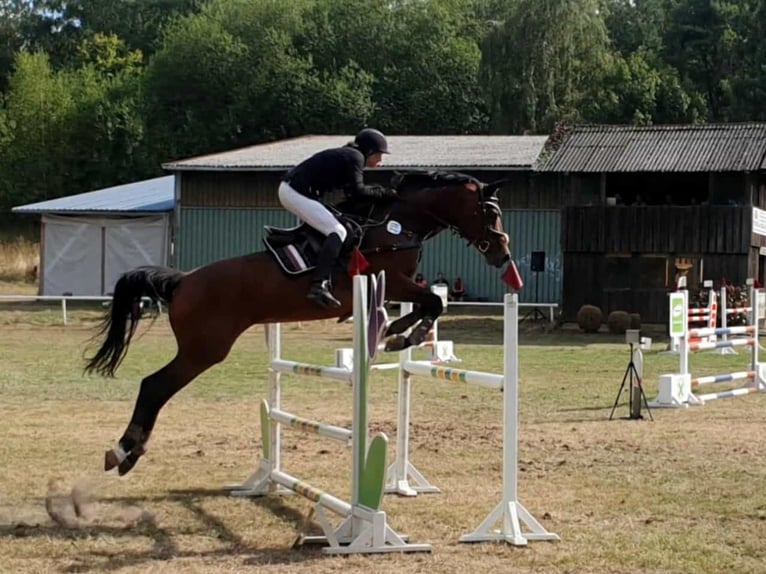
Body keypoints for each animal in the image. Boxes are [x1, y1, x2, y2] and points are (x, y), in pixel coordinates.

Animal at [84, 170, 512, 476]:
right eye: (490, 213)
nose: (503, 256)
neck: (395, 226)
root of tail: (182, 281)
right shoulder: (389, 279)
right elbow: (434, 301)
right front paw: (406, 335)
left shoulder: (395, 286)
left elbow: (427, 304)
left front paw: (396, 334)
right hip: (204, 350)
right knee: (154, 386)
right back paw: (124, 452)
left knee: (155, 387)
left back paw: (128, 451)